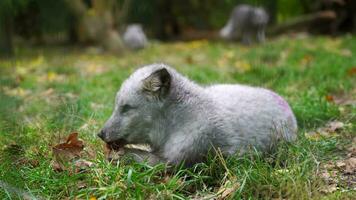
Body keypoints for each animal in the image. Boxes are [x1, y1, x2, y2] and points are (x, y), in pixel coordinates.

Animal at [98, 63, 298, 166]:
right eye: (117, 106)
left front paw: (117, 155)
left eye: (126, 108)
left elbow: (135, 155)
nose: (100, 134)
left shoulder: (174, 162)